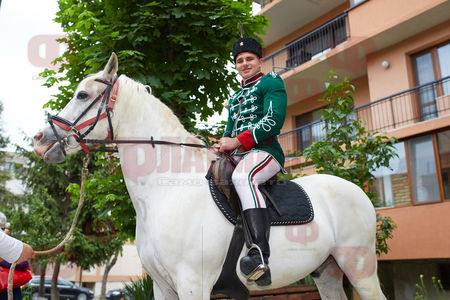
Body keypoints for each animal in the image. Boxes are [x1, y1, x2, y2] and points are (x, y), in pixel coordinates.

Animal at [34, 54, 386, 300]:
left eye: (82, 95)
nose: (41, 140)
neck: (166, 190)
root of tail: (357, 190)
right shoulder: (163, 287)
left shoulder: (193, 283)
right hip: (327, 271)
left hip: (361, 268)